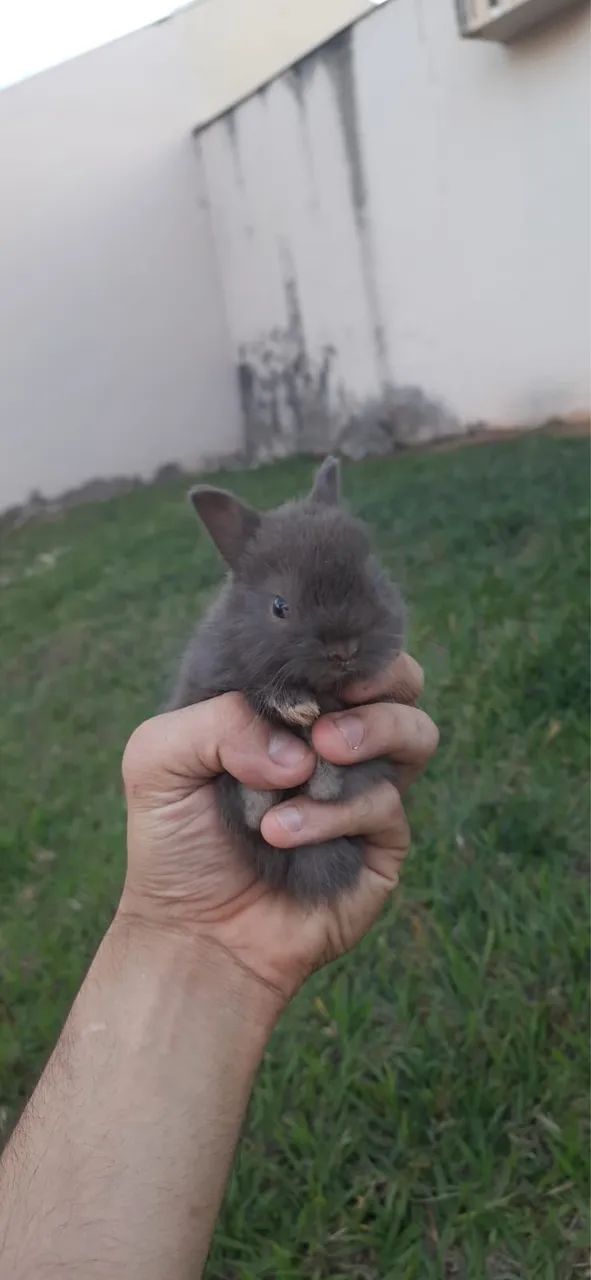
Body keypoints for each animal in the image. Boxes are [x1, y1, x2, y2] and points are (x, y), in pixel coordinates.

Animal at [168, 456, 405, 905]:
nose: (344, 649)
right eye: (280, 606)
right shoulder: (209, 686)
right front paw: (296, 709)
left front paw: (324, 780)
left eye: (371, 579)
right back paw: (259, 805)